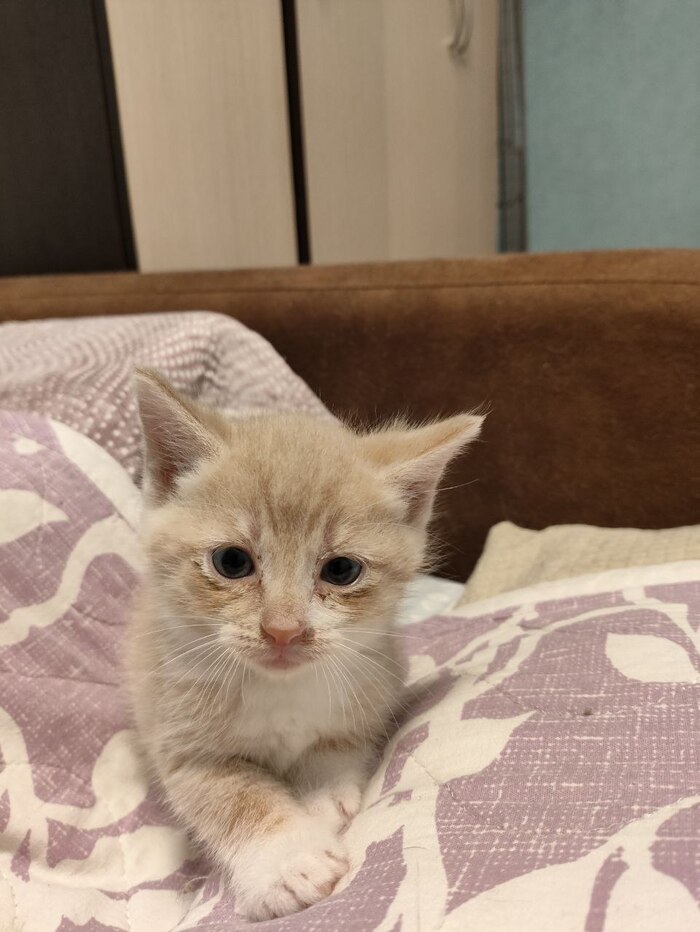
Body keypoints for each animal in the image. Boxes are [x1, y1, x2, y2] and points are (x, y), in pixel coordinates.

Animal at [127, 368, 483, 921]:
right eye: (232, 562)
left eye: (341, 570)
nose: (283, 630)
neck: (281, 689)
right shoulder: (180, 738)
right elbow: (234, 798)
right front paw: (289, 865)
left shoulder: (374, 682)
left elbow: (336, 741)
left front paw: (321, 795)